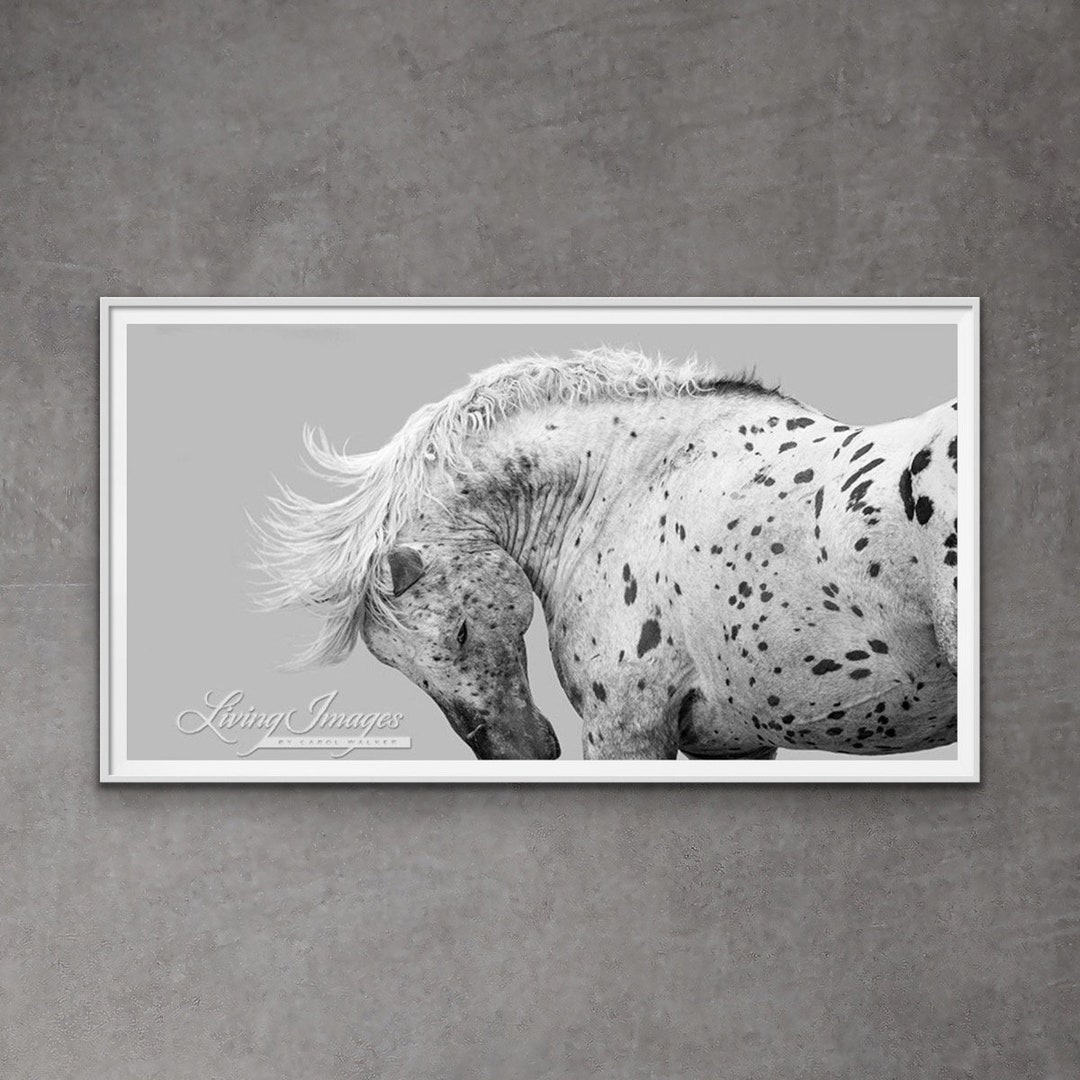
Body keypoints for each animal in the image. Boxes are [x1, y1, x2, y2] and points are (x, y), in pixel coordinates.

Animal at [253, 349, 958, 760]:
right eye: (394, 667)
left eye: (458, 633)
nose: (515, 754)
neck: (630, 484)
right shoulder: (736, 743)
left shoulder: (626, 729)